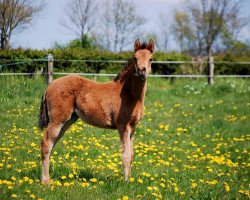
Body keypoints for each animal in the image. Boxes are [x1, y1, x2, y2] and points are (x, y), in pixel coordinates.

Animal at [38, 38, 154, 184]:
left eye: (150, 59)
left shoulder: (132, 127)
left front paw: (130, 180)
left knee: (52, 143)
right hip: (58, 119)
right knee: (46, 143)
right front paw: (126, 183)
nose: (142, 71)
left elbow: (132, 155)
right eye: (135, 58)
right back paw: (45, 182)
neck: (129, 94)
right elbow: (126, 155)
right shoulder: (123, 126)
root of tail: (49, 86)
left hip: (69, 120)